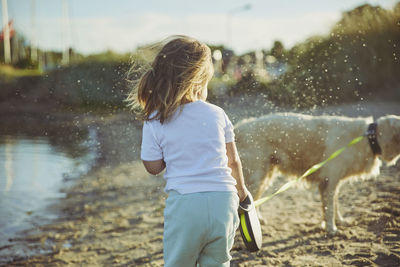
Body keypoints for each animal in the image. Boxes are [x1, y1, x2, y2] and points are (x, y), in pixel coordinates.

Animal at [234, 113, 400, 237]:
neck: (368, 137)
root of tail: (238, 127)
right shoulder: (329, 180)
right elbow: (330, 208)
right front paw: (331, 229)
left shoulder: (333, 182)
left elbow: (334, 205)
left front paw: (339, 221)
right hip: (256, 176)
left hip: (265, 175)